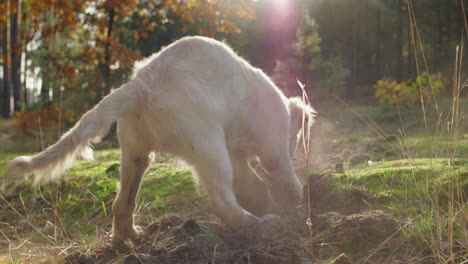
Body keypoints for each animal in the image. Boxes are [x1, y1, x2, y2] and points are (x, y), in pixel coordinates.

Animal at [3, 35, 314, 248]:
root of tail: (142, 84)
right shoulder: (272, 149)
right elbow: (283, 177)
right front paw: (288, 204)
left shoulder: (238, 154)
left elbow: (251, 182)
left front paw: (263, 200)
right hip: (209, 147)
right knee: (222, 202)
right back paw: (257, 224)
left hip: (136, 155)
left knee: (121, 204)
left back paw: (127, 238)